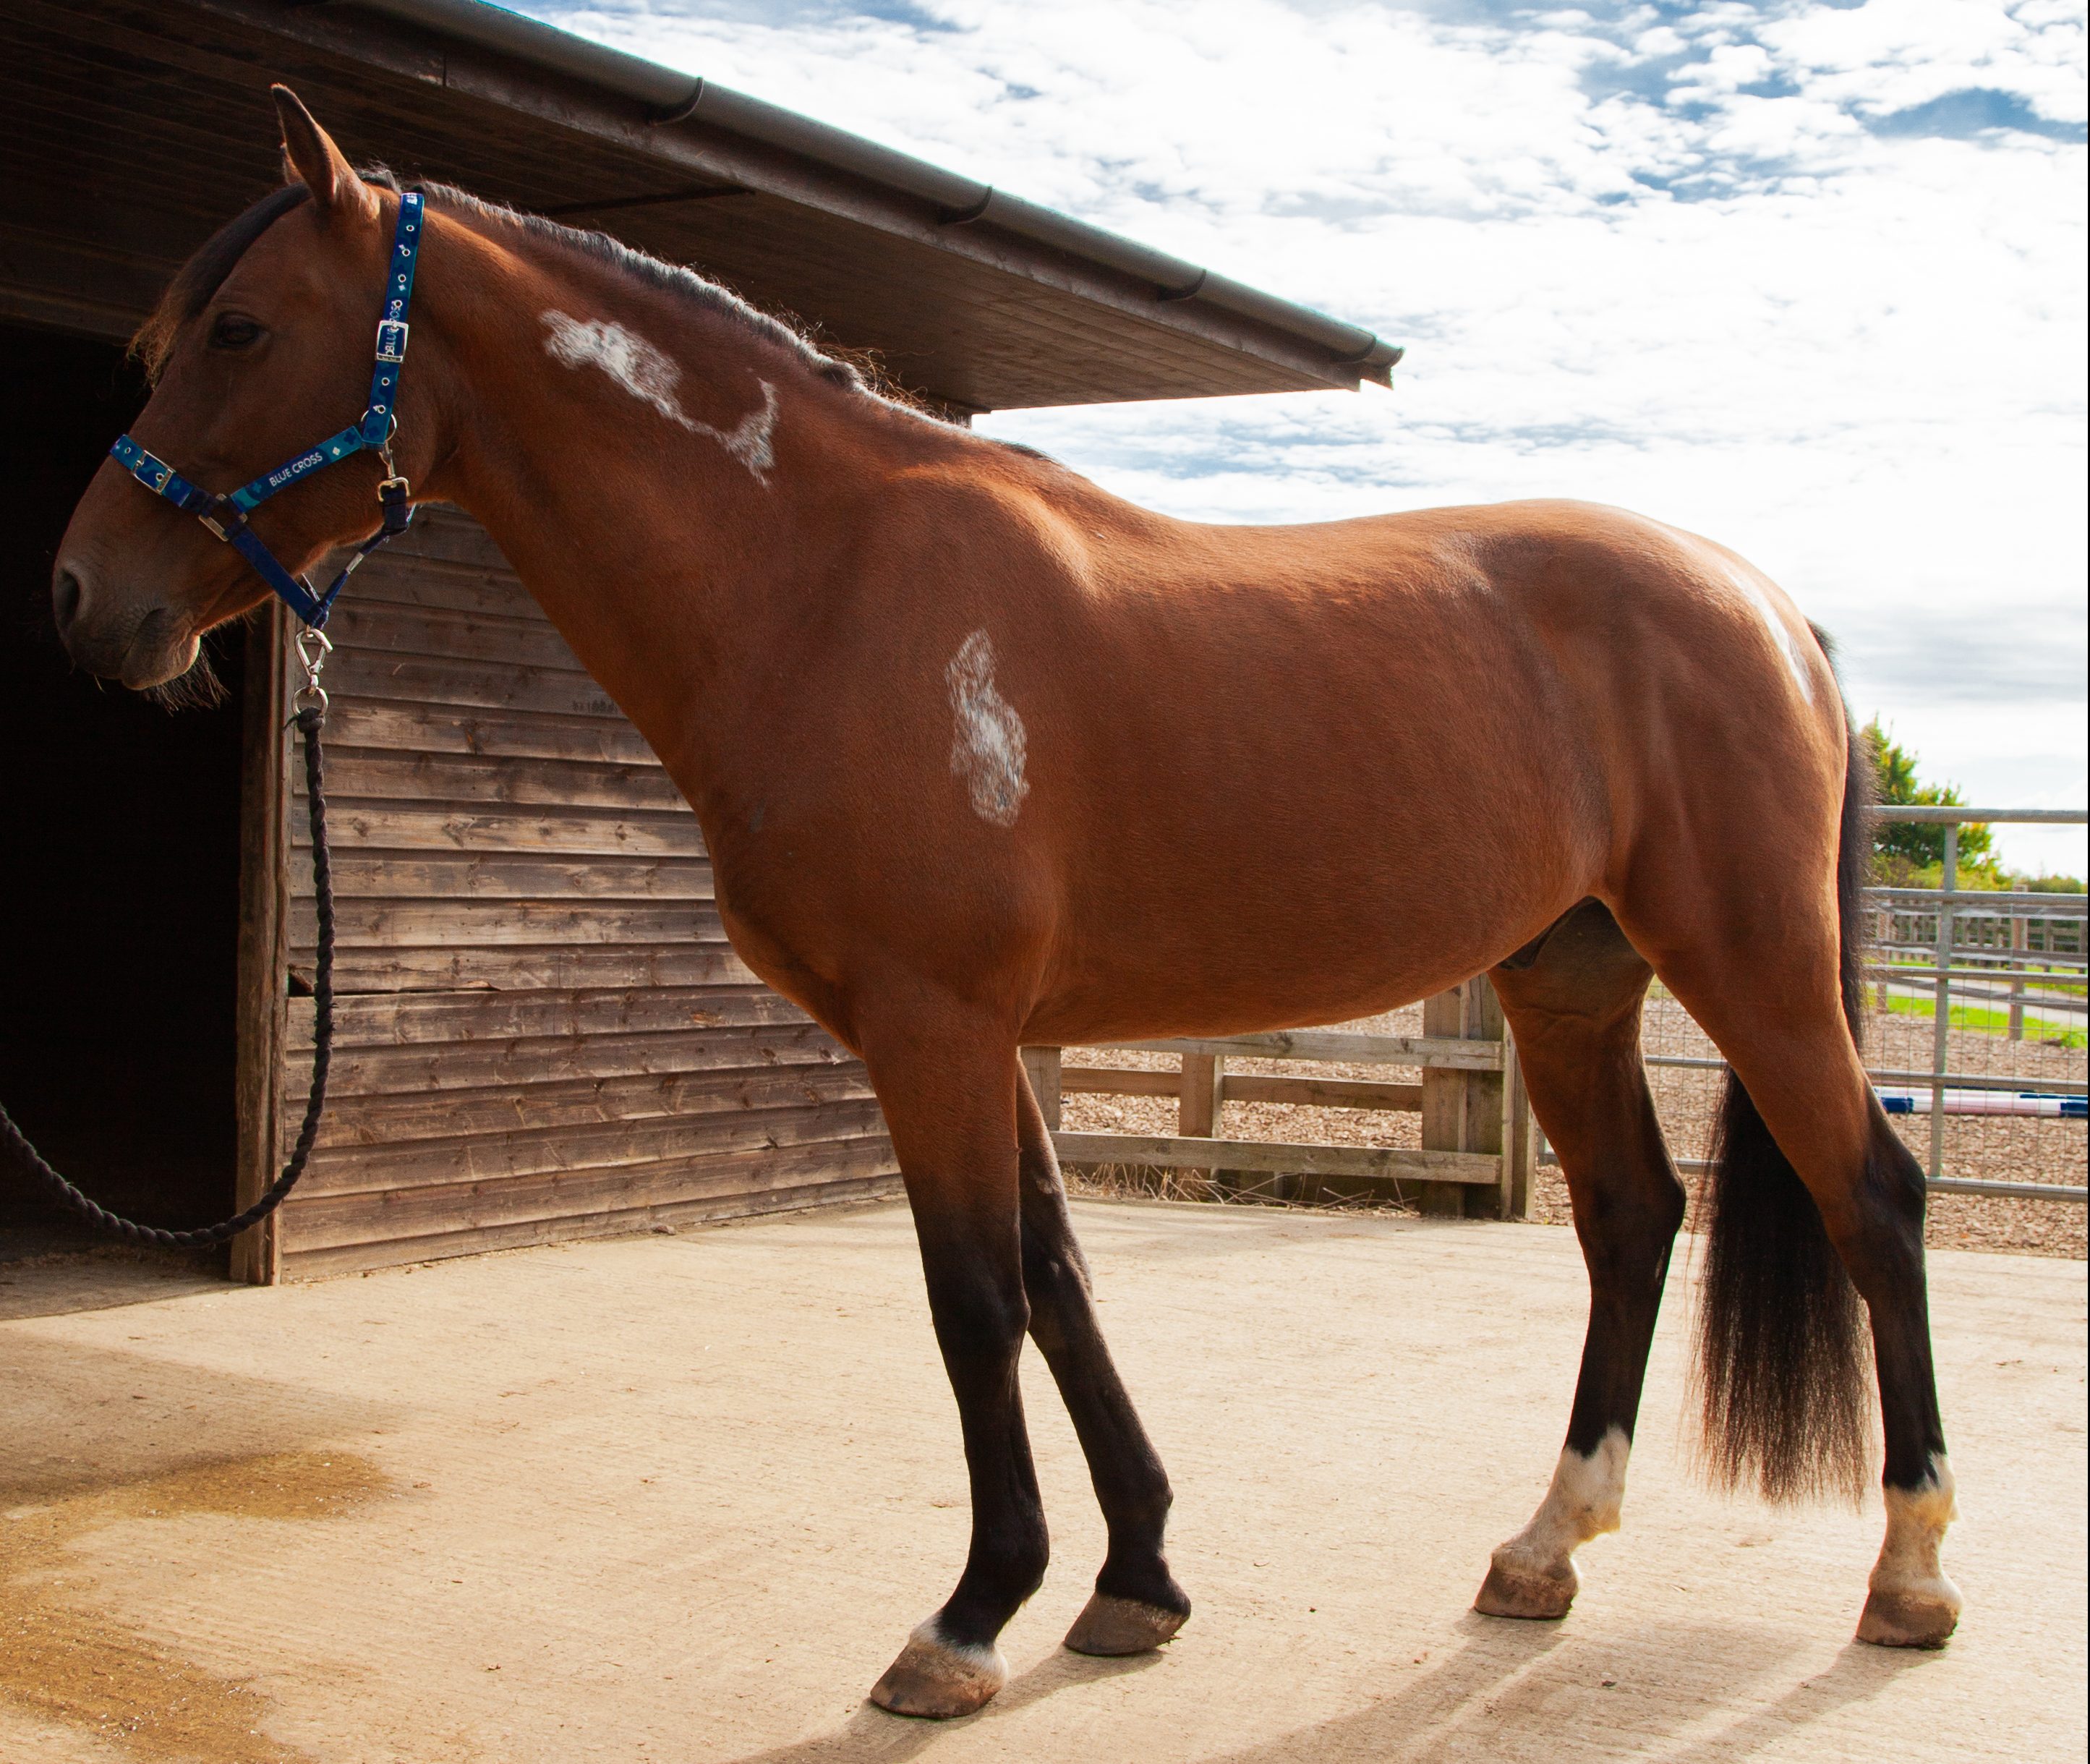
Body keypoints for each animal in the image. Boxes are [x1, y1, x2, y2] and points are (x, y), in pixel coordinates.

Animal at [48, 89, 1956, 1713]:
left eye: (238, 330)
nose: (84, 598)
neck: (822, 578)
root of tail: (1765, 607)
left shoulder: (933, 1025)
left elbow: (973, 1296)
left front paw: (966, 1619)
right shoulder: (988, 1037)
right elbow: (1058, 1277)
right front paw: (1135, 1580)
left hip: (1748, 965)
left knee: (1868, 1196)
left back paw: (1910, 1575)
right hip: (1568, 986)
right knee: (1629, 1218)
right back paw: (1542, 1546)